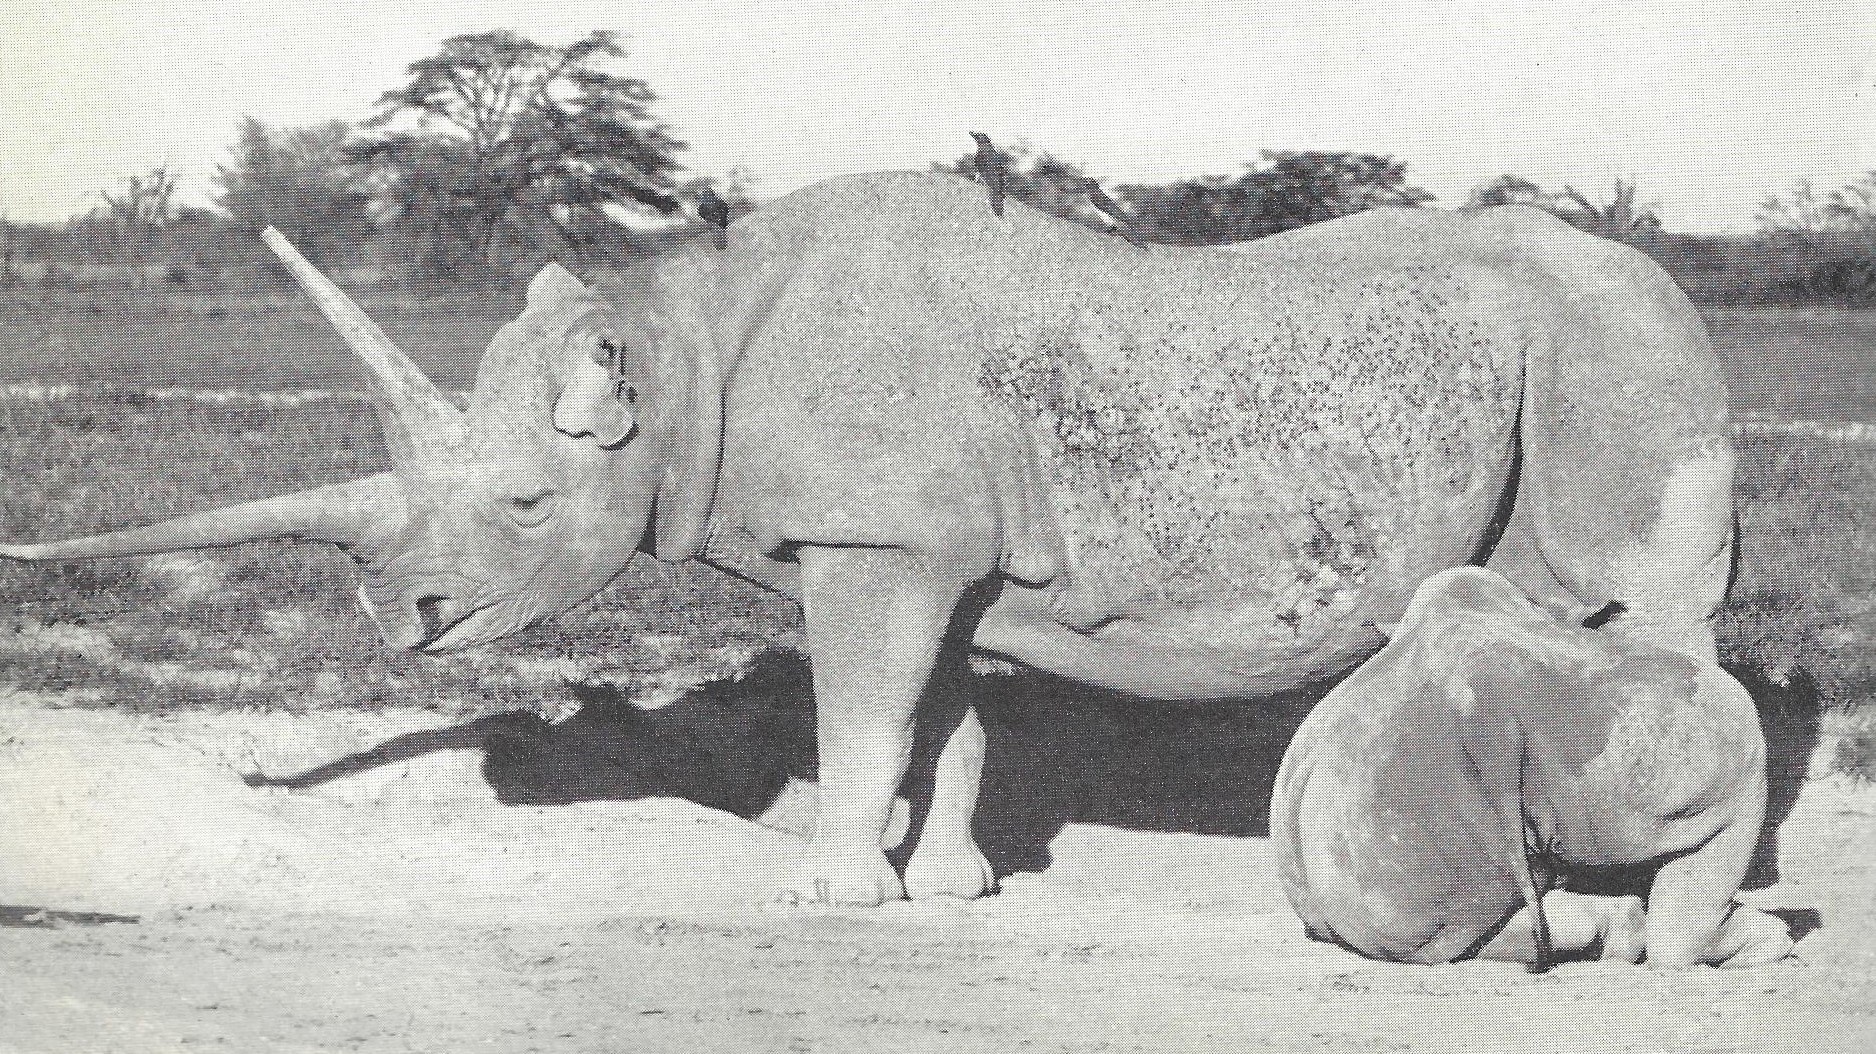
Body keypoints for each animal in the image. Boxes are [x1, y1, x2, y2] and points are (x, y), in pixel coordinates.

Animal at [0, 171, 1746, 911]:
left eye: (523, 508)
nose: (398, 616)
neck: (684, 355)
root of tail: (1670, 286)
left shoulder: (875, 546)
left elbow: (862, 715)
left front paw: (829, 898)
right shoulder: (926, 549)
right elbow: (945, 717)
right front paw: (954, 887)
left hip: (1620, 345)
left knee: (1657, 626)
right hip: (1580, 352)